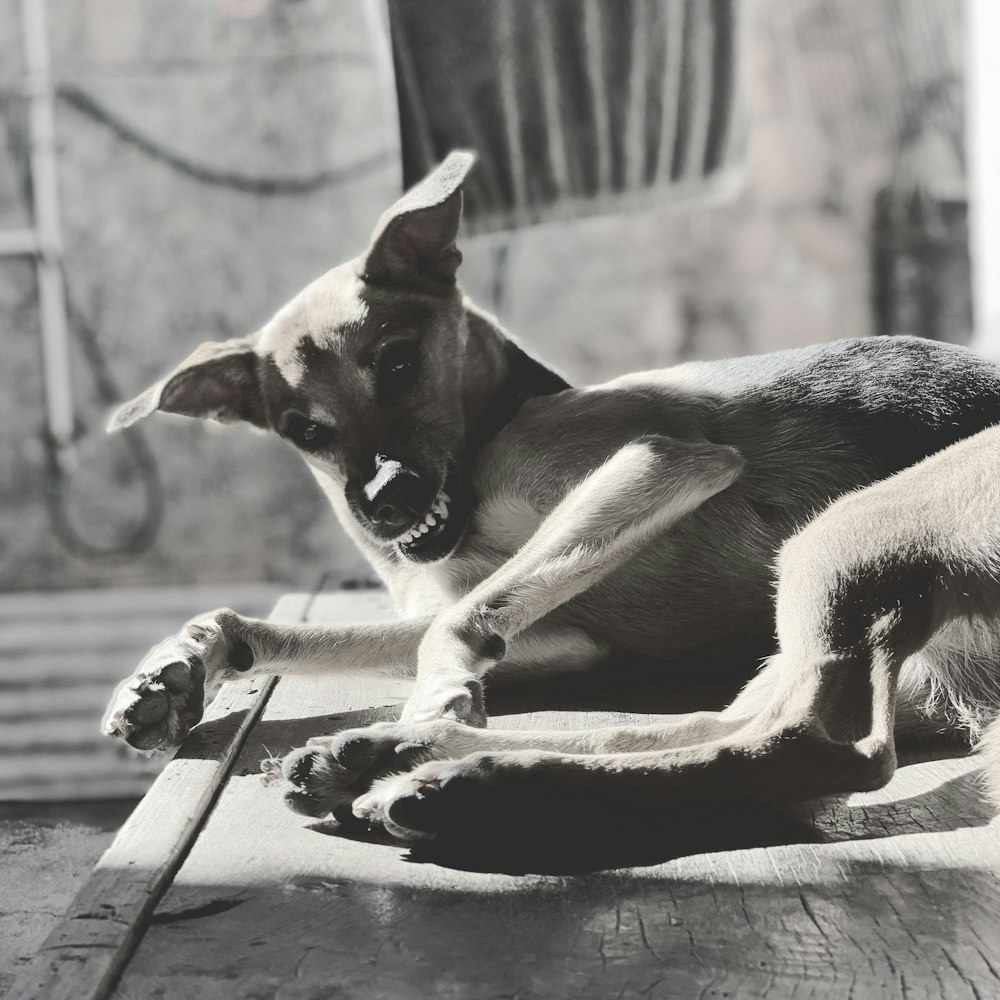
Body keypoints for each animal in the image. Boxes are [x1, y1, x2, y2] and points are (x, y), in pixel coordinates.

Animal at [103, 152, 1000, 848]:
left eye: (398, 362)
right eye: (303, 429)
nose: (386, 504)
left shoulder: (654, 461)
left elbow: (453, 630)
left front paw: (441, 695)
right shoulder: (568, 636)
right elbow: (379, 629)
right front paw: (176, 669)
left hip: (839, 542)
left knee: (807, 748)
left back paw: (458, 783)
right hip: (828, 635)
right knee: (714, 728)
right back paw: (393, 758)